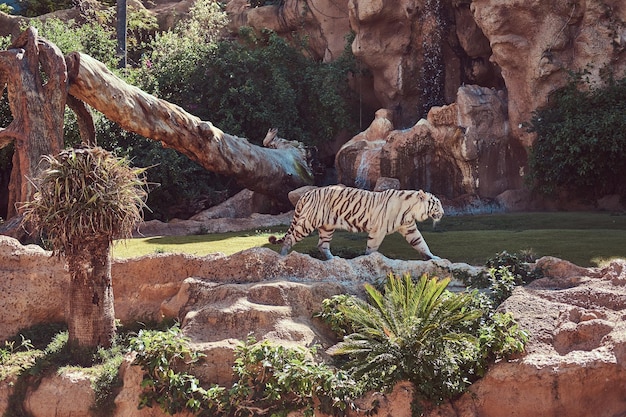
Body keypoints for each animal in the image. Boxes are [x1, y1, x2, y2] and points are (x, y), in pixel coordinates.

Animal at [266, 186, 442, 260]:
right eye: (437, 204)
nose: (443, 212)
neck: (411, 211)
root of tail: (308, 193)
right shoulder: (378, 230)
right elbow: (372, 248)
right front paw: (368, 260)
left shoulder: (410, 228)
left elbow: (421, 243)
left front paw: (433, 257)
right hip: (308, 223)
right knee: (291, 238)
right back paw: (282, 255)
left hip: (326, 228)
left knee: (322, 245)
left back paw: (334, 259)